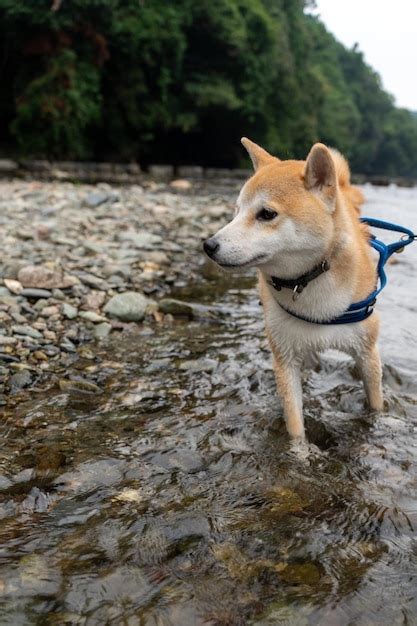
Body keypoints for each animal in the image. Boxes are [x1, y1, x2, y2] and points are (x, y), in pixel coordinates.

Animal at [203, 136, 382, 438]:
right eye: (236, 212)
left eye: (266, 214)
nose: (209, 245)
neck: (310, 280)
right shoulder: (285, 359)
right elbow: (295, 425)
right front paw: (299, 450)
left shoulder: (367, 353)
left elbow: (376, 405)